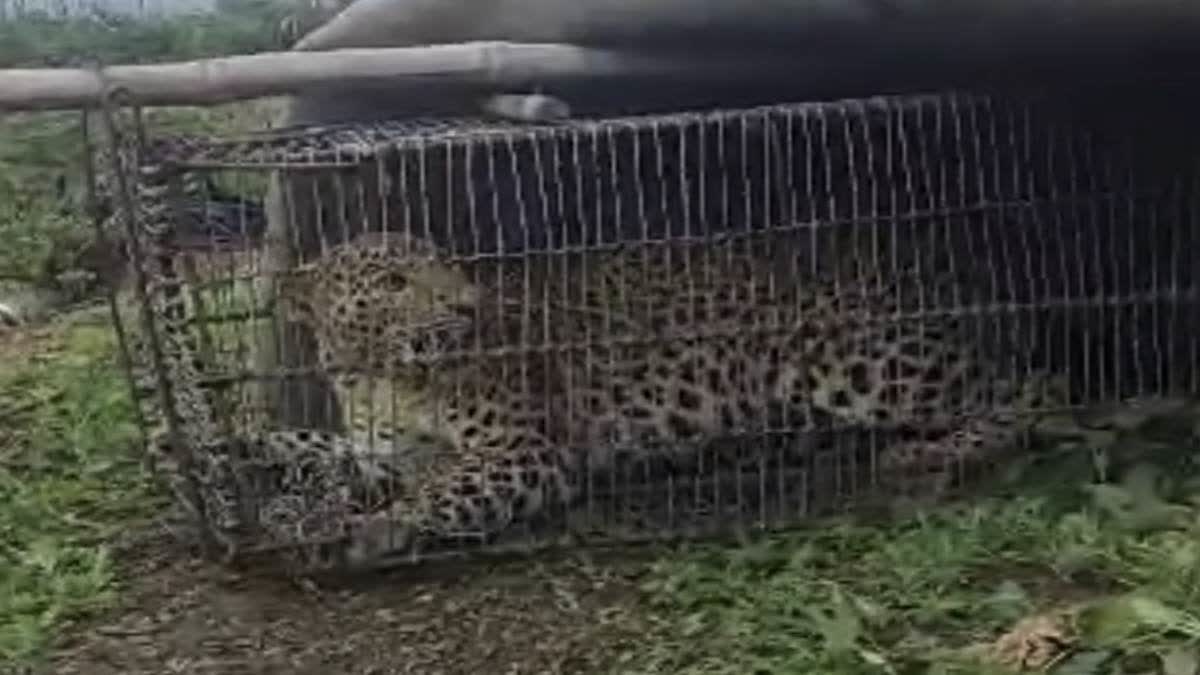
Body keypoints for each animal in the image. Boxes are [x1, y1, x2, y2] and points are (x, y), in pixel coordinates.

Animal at [276, 228, 1065, 564]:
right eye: (392, 283)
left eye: (444, 266)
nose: (469, 306)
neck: (382, 377)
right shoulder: (379, 447)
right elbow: (332, 451)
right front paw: (287, 478)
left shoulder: (523, 451)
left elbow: (439, 486)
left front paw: (378, 525)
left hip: (853, 361)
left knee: (1033, 390)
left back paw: (931, 454)